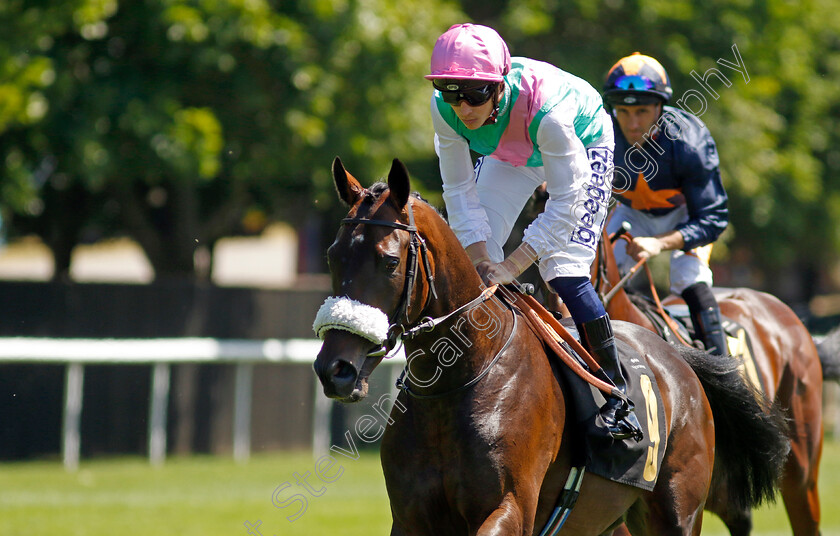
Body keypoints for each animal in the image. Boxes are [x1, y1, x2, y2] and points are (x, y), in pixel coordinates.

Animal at [314, 159, 788, 536]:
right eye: (333, 255)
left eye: (390, 261)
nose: (335, 368)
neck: (460, 378)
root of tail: (680, 360)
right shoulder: (412, 518)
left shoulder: (510, 508)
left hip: (678, 510)